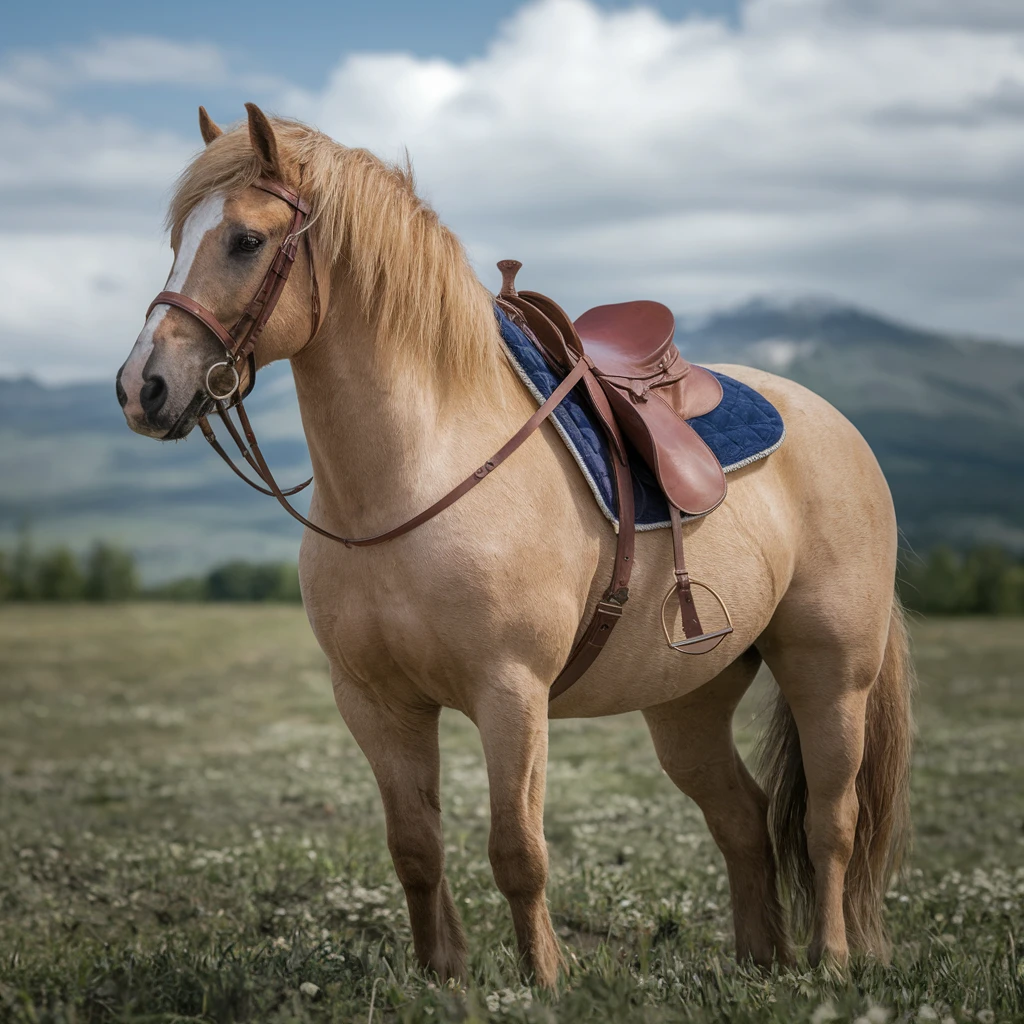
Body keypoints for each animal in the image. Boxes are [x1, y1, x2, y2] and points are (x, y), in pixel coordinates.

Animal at [116, 103, 913, 987]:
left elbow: (518, 852)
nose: (142, 389)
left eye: (246, 240)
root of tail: (837, 426)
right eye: (179, 237)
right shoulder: (374, 701)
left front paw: (543, 979)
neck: (414, 472)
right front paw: (443, 975)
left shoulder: (512, 692)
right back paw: (758, 961)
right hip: (688, 700)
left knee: (831, 822)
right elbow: (415, 848)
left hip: (831, 672)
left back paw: (831, 963)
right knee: (744, 816)